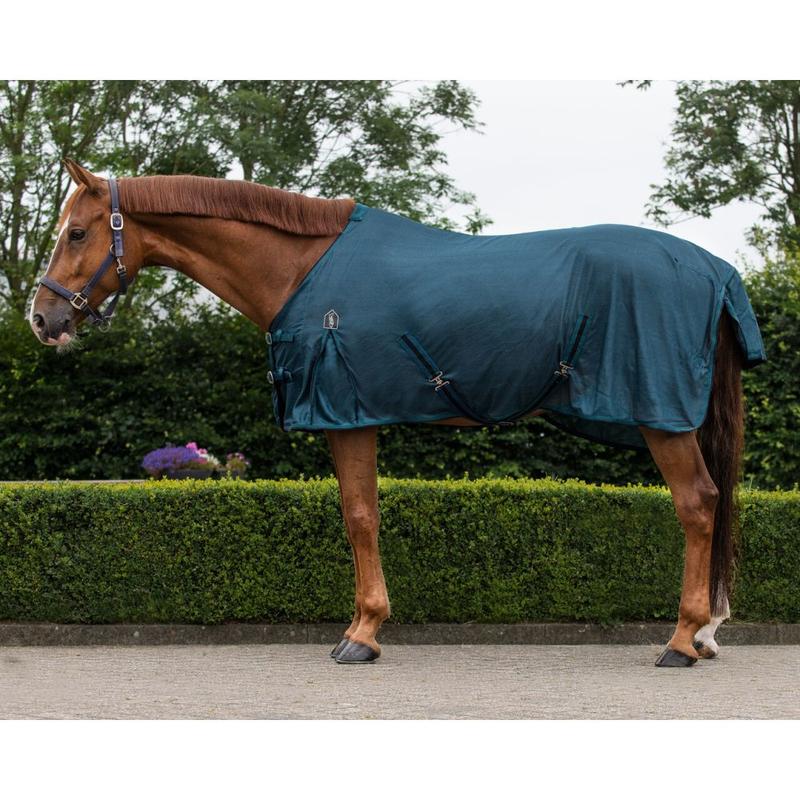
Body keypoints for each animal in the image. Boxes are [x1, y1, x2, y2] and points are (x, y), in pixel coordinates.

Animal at [30, 159, 766, 667]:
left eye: (76, 231)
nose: (43, 319)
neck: (300, 266)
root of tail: (716, 268)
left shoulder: (349, 415)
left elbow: (359, 517)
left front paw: (362, 634)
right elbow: (365, 513)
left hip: (663, 419)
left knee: (698, 505)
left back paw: (682, 640)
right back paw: (705, 633)